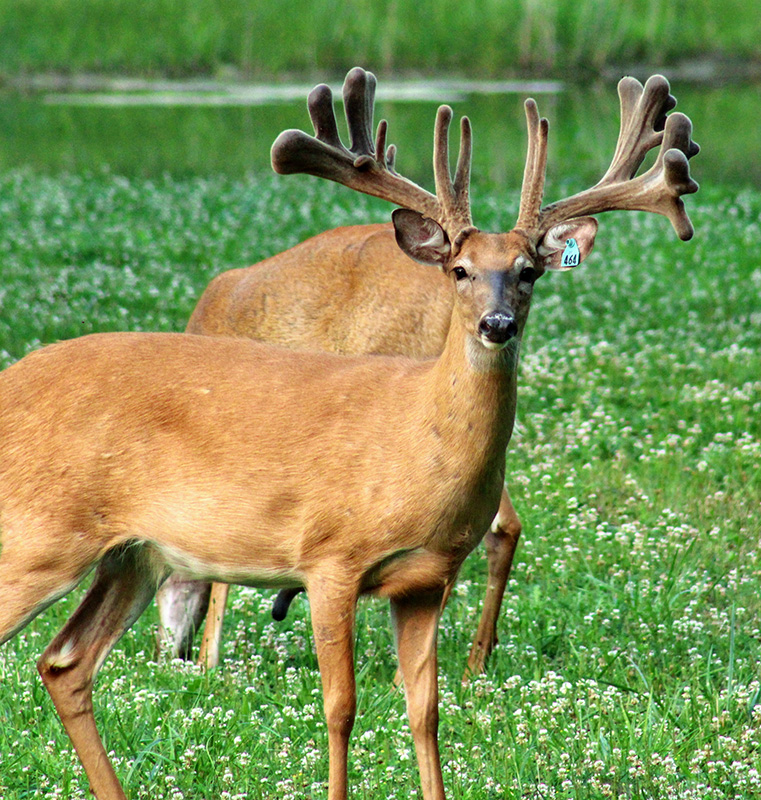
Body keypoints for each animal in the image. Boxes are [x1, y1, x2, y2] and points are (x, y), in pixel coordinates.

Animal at [0, 67, 697, 800]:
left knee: (65, 663)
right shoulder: (329, 556)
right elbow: (341, 707)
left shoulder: (425, 581)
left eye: (527, 270)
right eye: (459, 270)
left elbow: (425, 709)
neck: (418, 441)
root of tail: (9, 385)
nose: (497, 324)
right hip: (42, 534)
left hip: (133, 555)